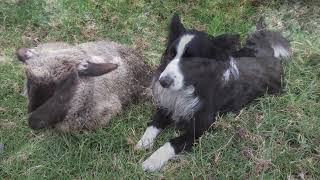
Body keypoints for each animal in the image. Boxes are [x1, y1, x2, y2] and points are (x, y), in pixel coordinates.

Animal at [135, 14, 290, 172]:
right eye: (171, 55)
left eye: (192, 60)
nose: (163, 82)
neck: (190, 87)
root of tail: (269, 54)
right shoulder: (168, 105)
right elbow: (154, 123)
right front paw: (144, 142)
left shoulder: (200, 129)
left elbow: (172, 142)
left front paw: (152, 161)